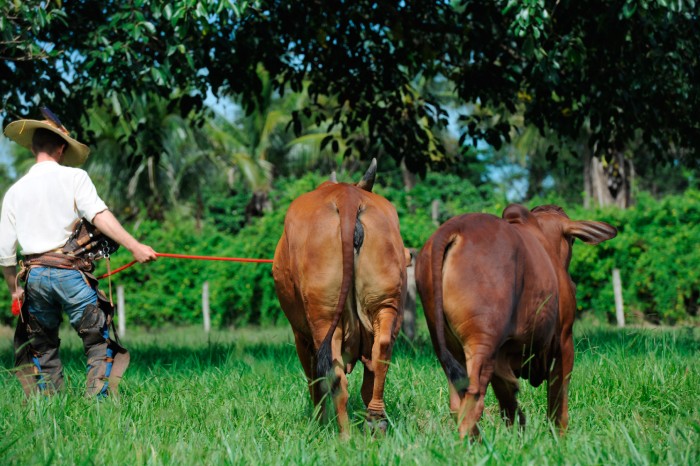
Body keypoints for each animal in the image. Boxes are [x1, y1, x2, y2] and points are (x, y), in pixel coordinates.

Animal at [270, 159, 408, 436]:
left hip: (323, 316)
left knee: (333, 374)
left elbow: (314, 380)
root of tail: (348, 196)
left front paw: (318, 423)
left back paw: (344, 435)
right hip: (385, 302)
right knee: (381, 352)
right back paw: (375, 420)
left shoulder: (300, 336)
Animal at [416, 203, 616, 436]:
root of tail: (455, 228)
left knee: (457, 404)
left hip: (450, 347)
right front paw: (560, 438)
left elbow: (509, 405)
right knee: (472, 405)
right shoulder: (565, 340)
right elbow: (558, 403)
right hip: (483, 344)